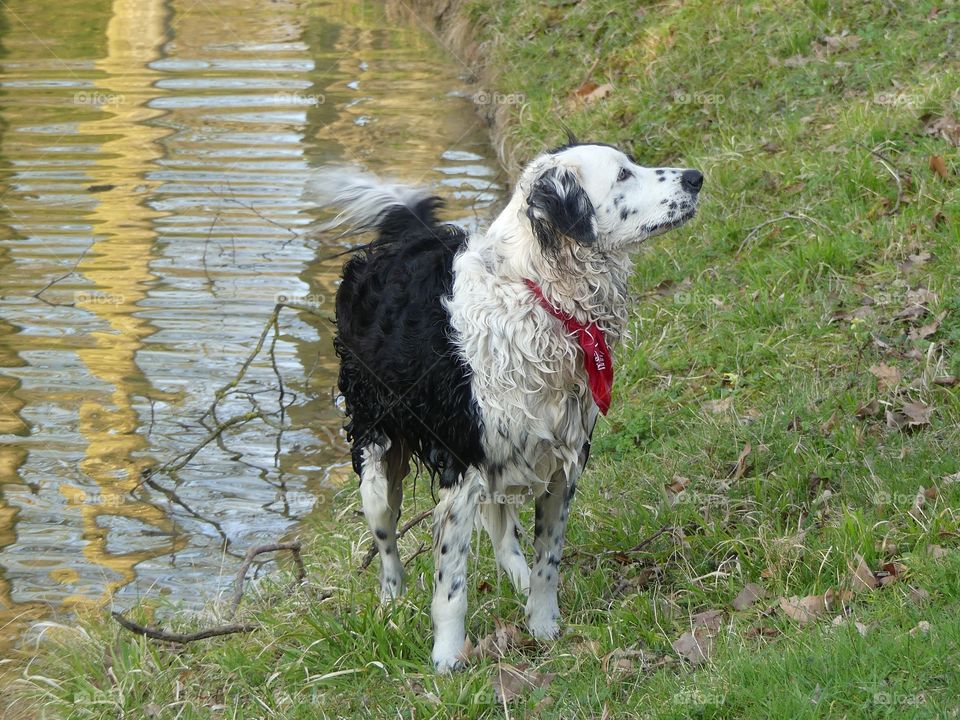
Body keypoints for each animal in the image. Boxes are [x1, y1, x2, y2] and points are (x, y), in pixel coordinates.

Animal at [312, 143, 700, 672]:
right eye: (623, 174)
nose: (696, 177)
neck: (536, 294)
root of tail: (411, 238)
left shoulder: (562, 462)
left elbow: (546, 561)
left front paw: (543, 626)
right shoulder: (462, 467)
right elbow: (451, 587)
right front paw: (447, 658)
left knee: (500, 532)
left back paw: (513, 577)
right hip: (375, 446)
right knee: (386, 537)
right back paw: (391, 603)